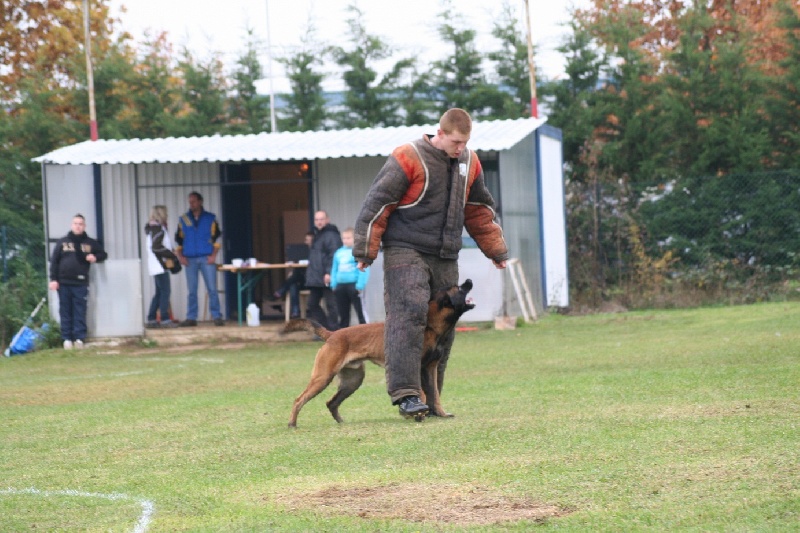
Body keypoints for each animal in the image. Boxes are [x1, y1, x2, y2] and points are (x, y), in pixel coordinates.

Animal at [288, 278, 476, 424]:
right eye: (459, 288)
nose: (469, 281)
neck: (430, 326)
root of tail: (332, 334)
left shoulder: (431, 369)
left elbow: (435, 395)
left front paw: (441, 414)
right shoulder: (416, 367)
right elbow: (422, 392)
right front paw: (419, 414)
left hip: (352, 381)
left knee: (331, 402)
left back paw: (341, 422)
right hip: (323, 377)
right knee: (298, 399)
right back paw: (292, 424)